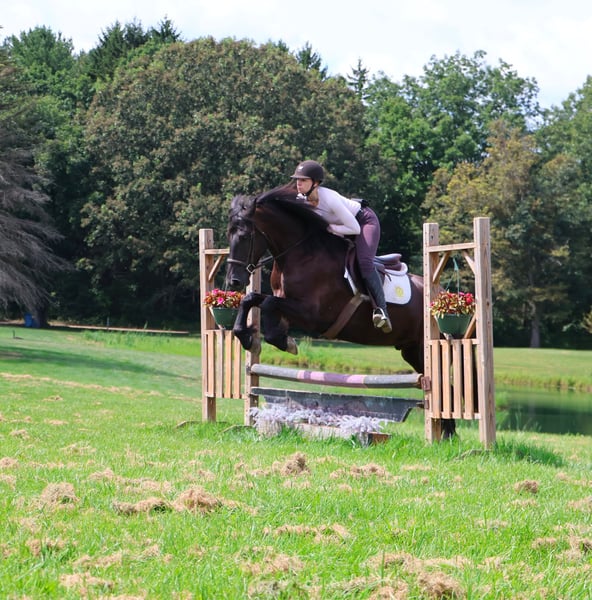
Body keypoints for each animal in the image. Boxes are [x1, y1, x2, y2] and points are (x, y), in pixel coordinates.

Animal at [225, 184, 456, 436]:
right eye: (228, 235)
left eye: (244, 236)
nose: (234, 281)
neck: (301, 254)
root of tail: (440, 293)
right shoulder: (285, 302)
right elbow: (251, 299)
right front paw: (249, 338)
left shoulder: (313, 315)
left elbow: (268, 306)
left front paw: (285, 342)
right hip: (412, 350)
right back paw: (447, 434)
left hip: (425, 346)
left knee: (443, 384)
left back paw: (446, 435)